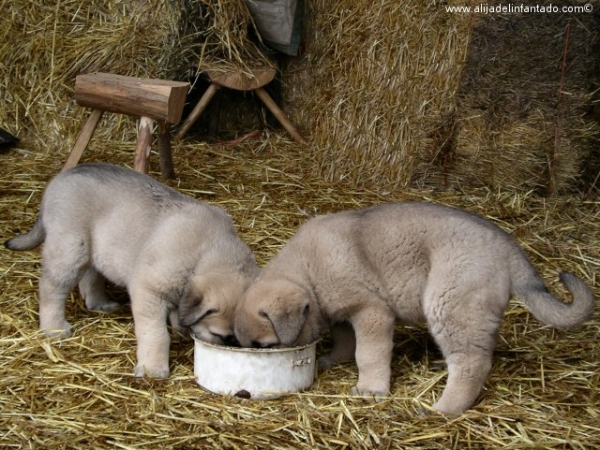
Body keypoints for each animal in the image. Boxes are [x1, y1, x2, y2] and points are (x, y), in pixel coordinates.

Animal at [4, 163, 258, 378]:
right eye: (222, 336)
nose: (235, 348)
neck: (205, 252)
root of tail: (59, 179)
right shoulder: (149, 292)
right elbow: (156, 334)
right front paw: (153, 369)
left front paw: (179, 329)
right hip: (70, 249)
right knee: (51, 289)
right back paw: (54, 328)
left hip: (95, 249)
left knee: (91, 275)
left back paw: (99, 303)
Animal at [236, 202, 596, 414]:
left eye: (265, 346)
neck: (307, 270)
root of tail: (508, 247)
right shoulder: (341, 311)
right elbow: (345, 340)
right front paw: (335, 359)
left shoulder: (372, 312)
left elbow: (368, 354)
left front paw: (370, 389)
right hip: (469, 313)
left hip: (448, 302)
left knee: (472, 364)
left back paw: (444, 408)